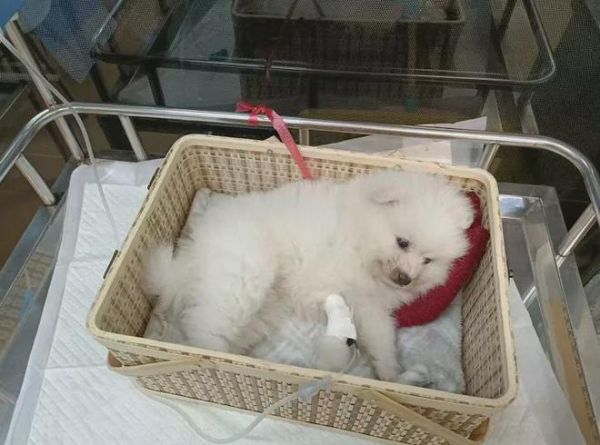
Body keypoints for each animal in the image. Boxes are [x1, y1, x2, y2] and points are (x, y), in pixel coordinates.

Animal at [143, 170, 473, 382]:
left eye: (428, 260)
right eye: (402, 242)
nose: (405, 278)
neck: (362, 236)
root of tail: (192, 256)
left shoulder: (370, 308)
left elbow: (381, 338)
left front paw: (392, 375)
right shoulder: (365, 300)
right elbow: (382, 338)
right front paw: (394, 375)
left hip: (263, 308)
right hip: (245, 278)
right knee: (203, 326)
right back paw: (217, 357)